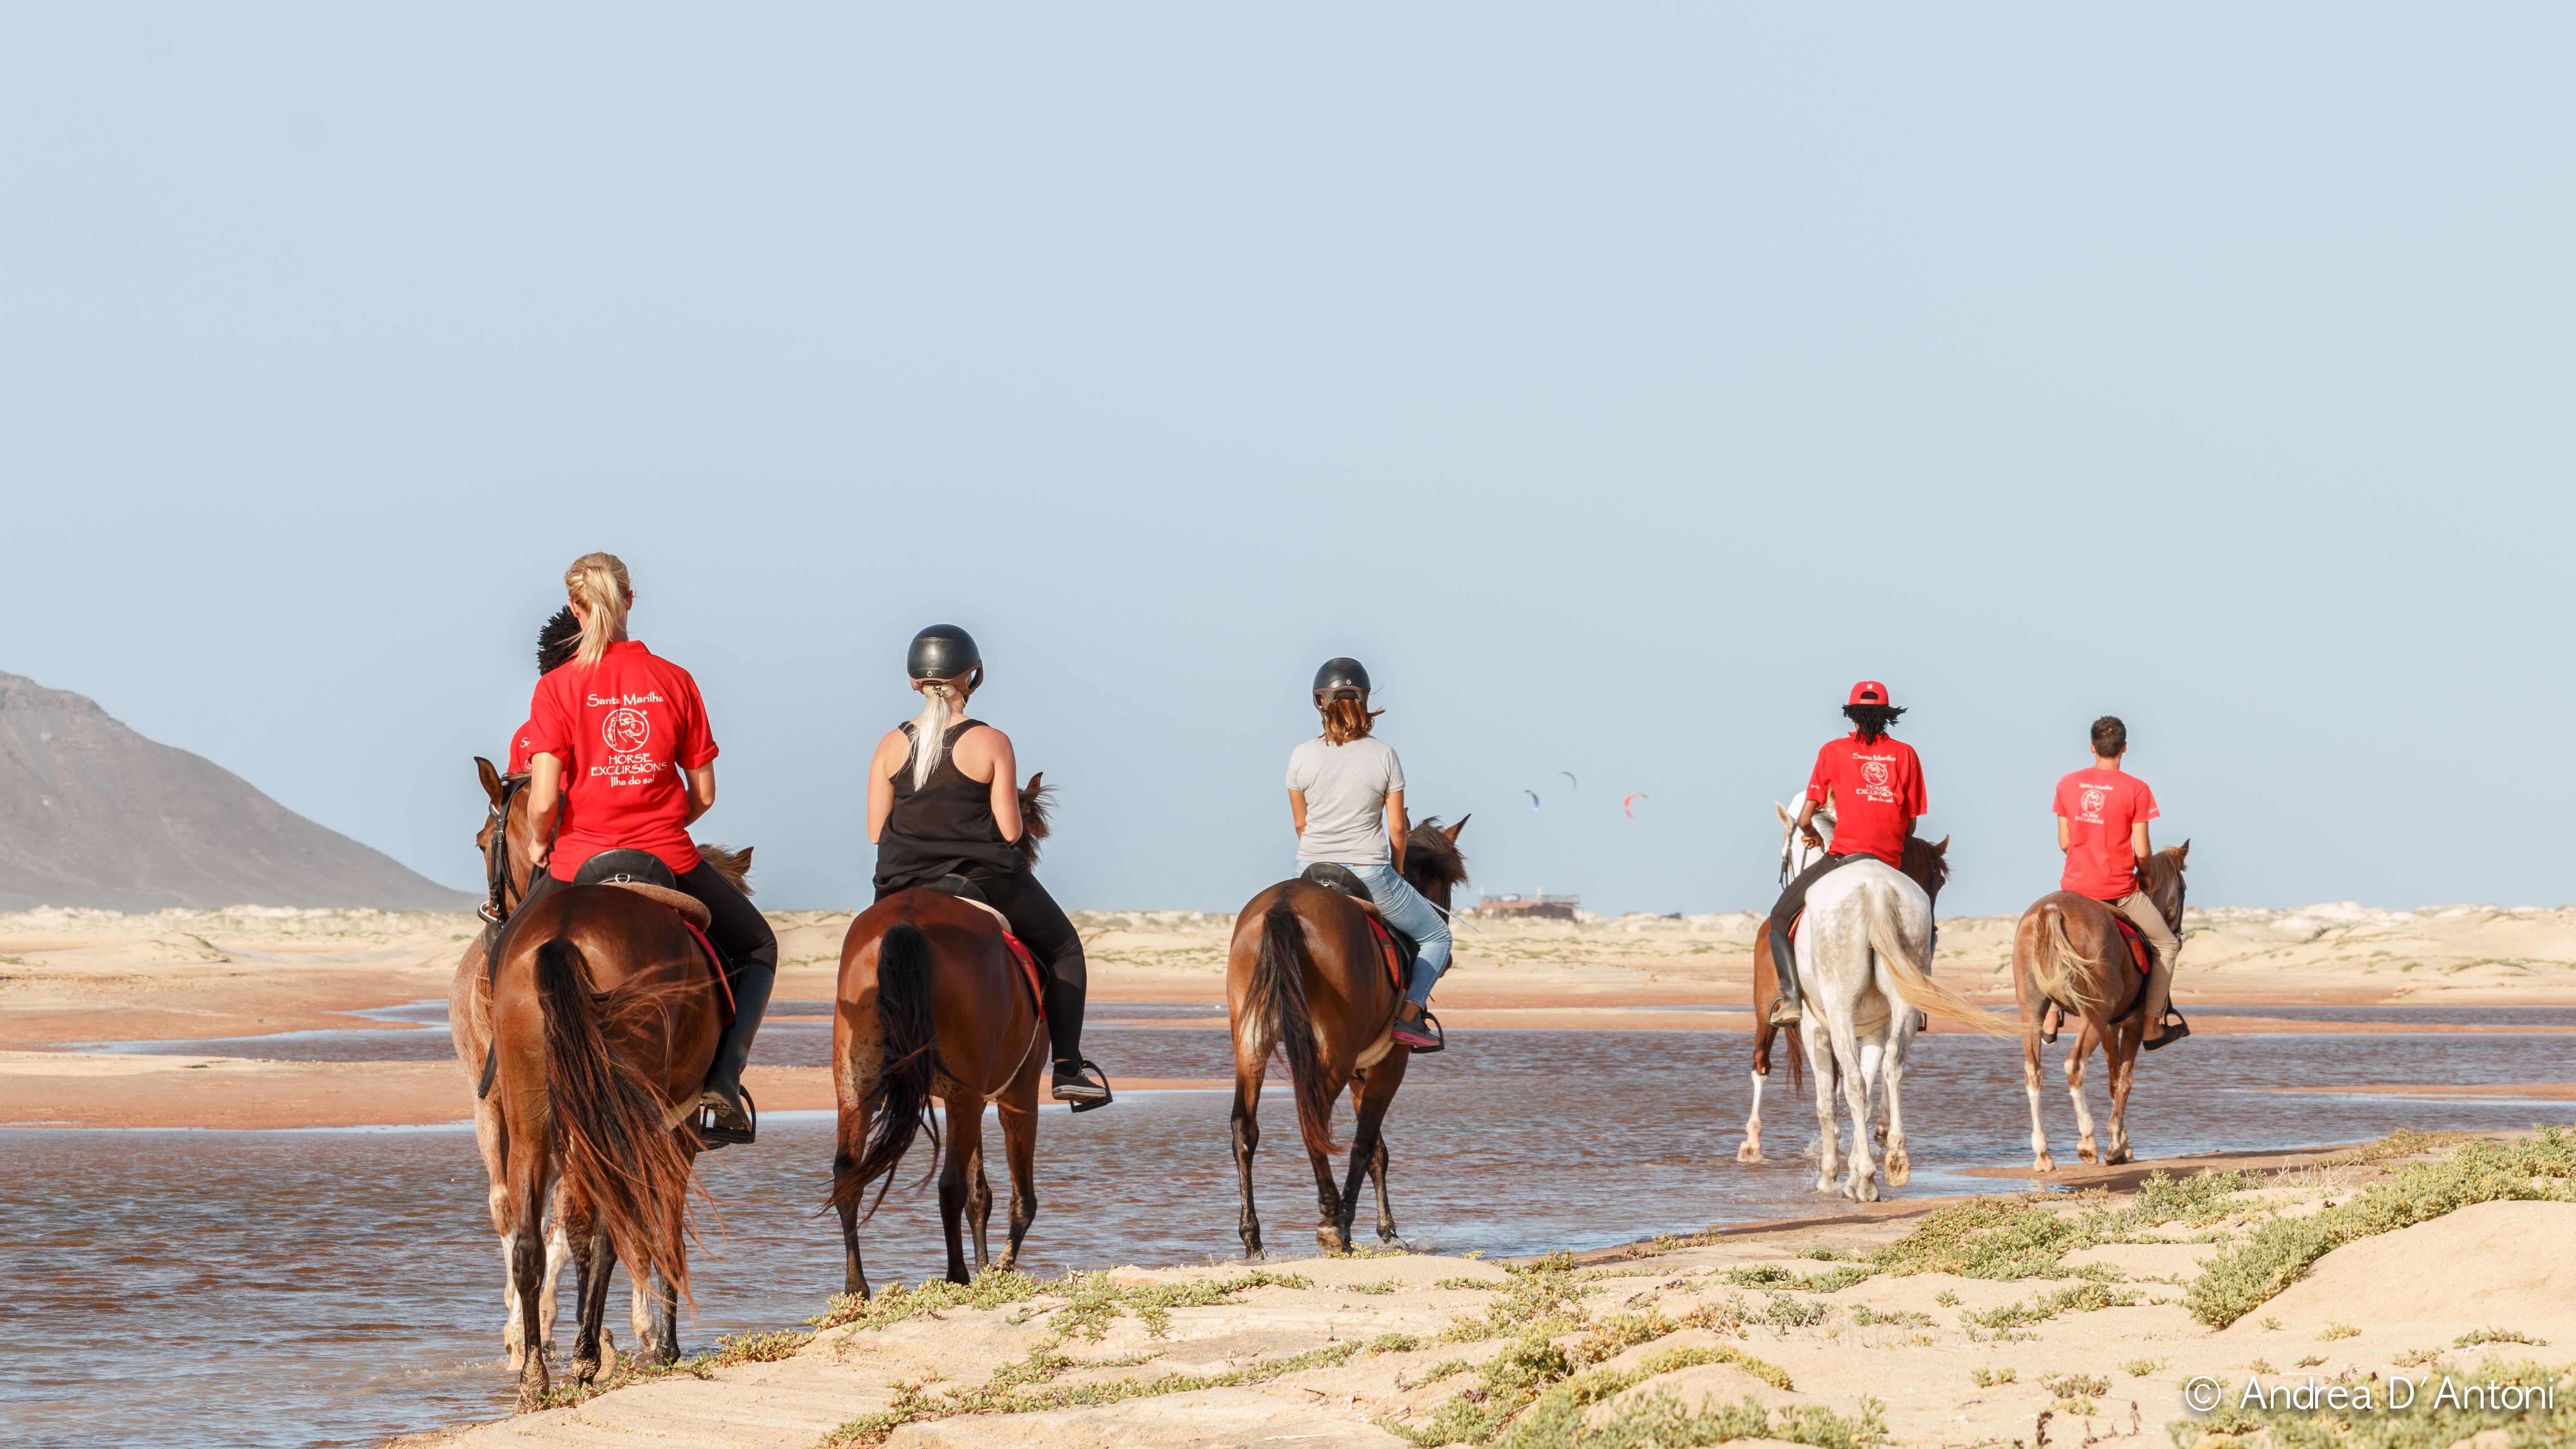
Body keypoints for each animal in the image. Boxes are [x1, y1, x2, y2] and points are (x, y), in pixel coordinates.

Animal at [465, 758, 750, 1405]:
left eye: (481, 842)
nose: (493, 920)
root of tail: (564, 934)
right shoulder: (676, 1131)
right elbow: (660, 1222)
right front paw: (663, 1345)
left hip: (534, 1115)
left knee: (531, 1236)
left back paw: (539, 1372)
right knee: (607, 1229)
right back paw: (587, 1355)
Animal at [826, 778, 1056, 1295]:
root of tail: (908, 919)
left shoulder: (968, 1097)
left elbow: (980, 1194)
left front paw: (988, 1263)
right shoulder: (1015, 1096)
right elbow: (1017, 1196)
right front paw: (999, 1266)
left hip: (858, 1085)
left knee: (848, 1175)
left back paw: (857, 1286)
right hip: (970, 1094)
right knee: (949, 1183)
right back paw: (956, 1275)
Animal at [1225, 817, 1470, 1257]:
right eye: (1446, 885)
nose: (1448, 946)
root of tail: (1285, 904)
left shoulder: (1362, 1069)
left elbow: (1377, 1151)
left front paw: (1387, 1231)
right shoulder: (1390, 1065)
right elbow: (1365, 1144)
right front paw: (1352, 1223)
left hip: (1251, 1044)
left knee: (1244, 1129)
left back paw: (1254, 1239)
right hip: (1335, 1056)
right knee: (1314, 1121)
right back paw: (1330, 1219)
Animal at [1793, 843, 2017, 1201]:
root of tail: (1877, 890)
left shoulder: (1813, 1029)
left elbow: (1828, 1102)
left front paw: (1832, 1176)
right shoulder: (1875, 1031)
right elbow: (1869, 1091)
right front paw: (1855, 1175)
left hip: (1840, 1005)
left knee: (1853, 1082)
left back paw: (1869, 1174)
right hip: (1905, 1001)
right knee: (1893, 1061)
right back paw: (1895, 1157)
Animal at [2011, 843, 2191, 1172]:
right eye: (2183, 888)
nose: (2178, 934)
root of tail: (2050, 910)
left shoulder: (2111, 1025)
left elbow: (2112, 1081)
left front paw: (2122, 1142)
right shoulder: (2132, 1024)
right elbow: (2125, 1081)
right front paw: (2116, 1148)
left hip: (2033, 1011)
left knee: (2033, 1071)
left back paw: (2043, 1153)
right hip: (2094, 1015)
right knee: (2074, 1065)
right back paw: (2088, 1141)